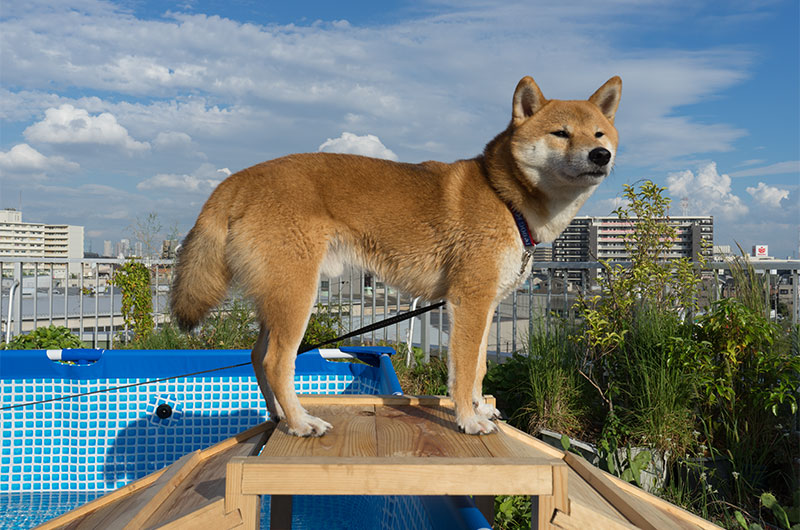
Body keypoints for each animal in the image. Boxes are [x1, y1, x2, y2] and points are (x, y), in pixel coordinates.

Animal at [173, 75, 624, 438]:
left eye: (599, 134)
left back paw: (279, 417)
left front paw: (480, 408)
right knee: (274, 362)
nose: (600, 156)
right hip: (296, 294)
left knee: (255, 356)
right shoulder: (469, 302)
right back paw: (301, 422)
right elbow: (463, 372)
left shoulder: (486, 305)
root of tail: (237, 181)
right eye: (561, 133)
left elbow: (479, 367)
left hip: (277, 296)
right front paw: (467, 419)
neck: (506, 198)